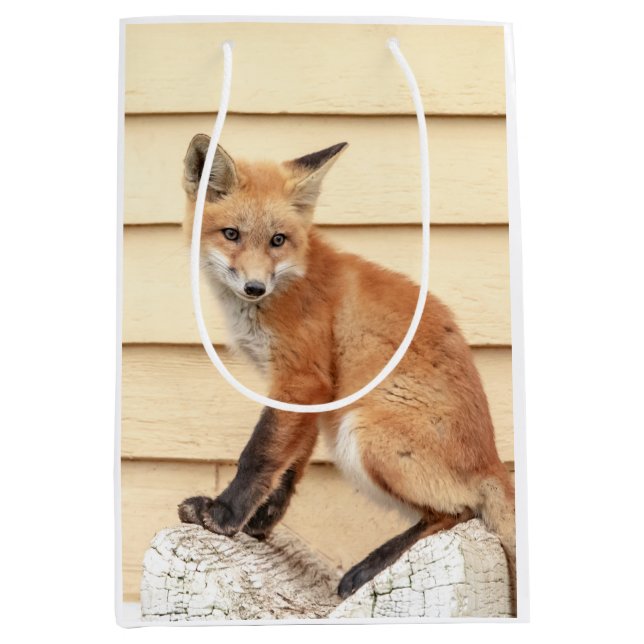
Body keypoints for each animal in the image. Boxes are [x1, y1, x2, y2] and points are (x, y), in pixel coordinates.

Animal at [177, 134, 516, 605]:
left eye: (278, 240)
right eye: (232, 234)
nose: (254, 287)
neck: (289, 282)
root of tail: (493, 462)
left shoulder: (302, 377)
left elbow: (260, 454)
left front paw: (224, 515)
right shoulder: (310, 391)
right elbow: (289, 465)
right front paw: (260, 522)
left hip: (363, 435)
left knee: (460, 511)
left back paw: (371, 565)